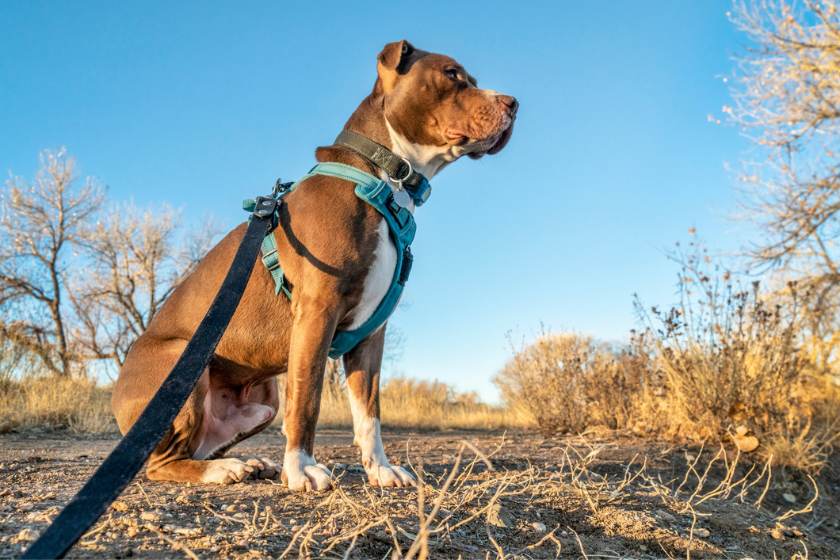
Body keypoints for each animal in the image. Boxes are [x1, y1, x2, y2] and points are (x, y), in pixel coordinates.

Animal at [111, 40, 520, 490]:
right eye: (451, 74)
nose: (514, 103)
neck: (383, 178)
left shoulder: (370, 333)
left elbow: (369, 411)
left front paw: (380, 469)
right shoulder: (317, 312)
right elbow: (307, 399)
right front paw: (302, 468)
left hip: (264, 401)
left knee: (200, 445)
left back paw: (247, 462)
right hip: (182, 366)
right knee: (161, 462)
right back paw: (222, 469)